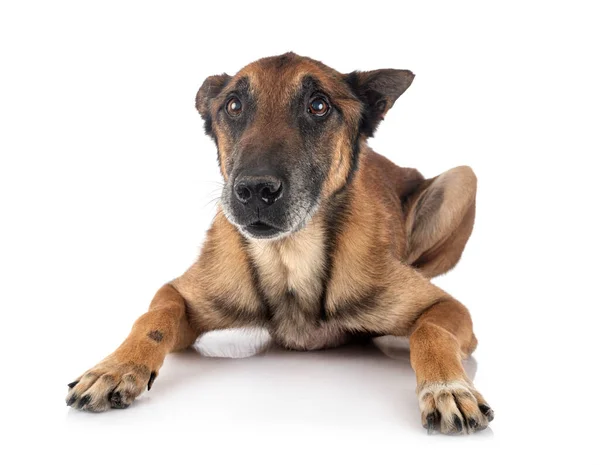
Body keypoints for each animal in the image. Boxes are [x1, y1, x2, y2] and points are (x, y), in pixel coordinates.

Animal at [68, 52, 494, 434]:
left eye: (318, 105)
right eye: (234, 105)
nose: (255, 190)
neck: (289, 255)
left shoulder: (446, 307)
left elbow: (430, 331)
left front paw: (447, 387)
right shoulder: (179, 298)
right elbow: (153, 318)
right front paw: (116, 367)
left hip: (463, 180)